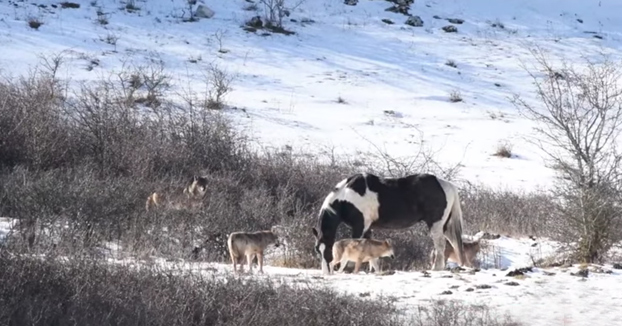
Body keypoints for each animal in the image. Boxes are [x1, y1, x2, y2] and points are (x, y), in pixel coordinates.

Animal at [312, 172, 468, 274]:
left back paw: (436, 268)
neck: (346, 196)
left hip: (436, 224)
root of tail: (446, 184)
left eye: (329, 248)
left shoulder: (360, 226)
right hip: (445, 225)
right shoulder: (367, 228)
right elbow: (369, 248)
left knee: (440, 244)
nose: (326, 272)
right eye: (317, 250)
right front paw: (373, 270)